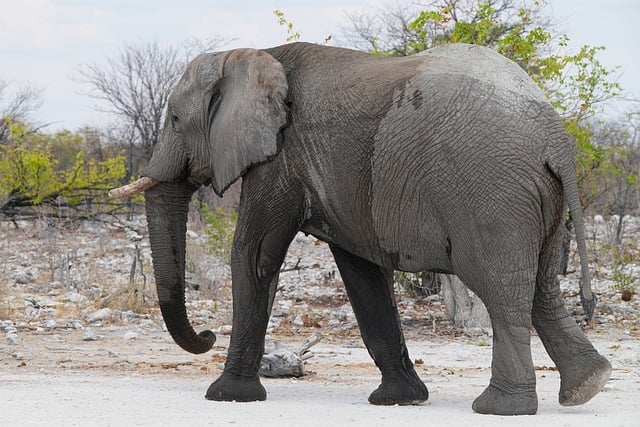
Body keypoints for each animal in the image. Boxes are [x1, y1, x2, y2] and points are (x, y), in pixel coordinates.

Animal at [109, 42, 611, 415]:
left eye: (176, 120)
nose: (208, 335)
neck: (251, 54)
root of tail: (555, 136)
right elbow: (362, 273)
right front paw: (398, 401)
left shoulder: (281, 158)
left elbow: (254, 256)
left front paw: (226, 396)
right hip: (536, 198)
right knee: (541, 287)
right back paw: (586, 386)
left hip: (490, 193)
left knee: (501, 288)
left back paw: (500, 408)